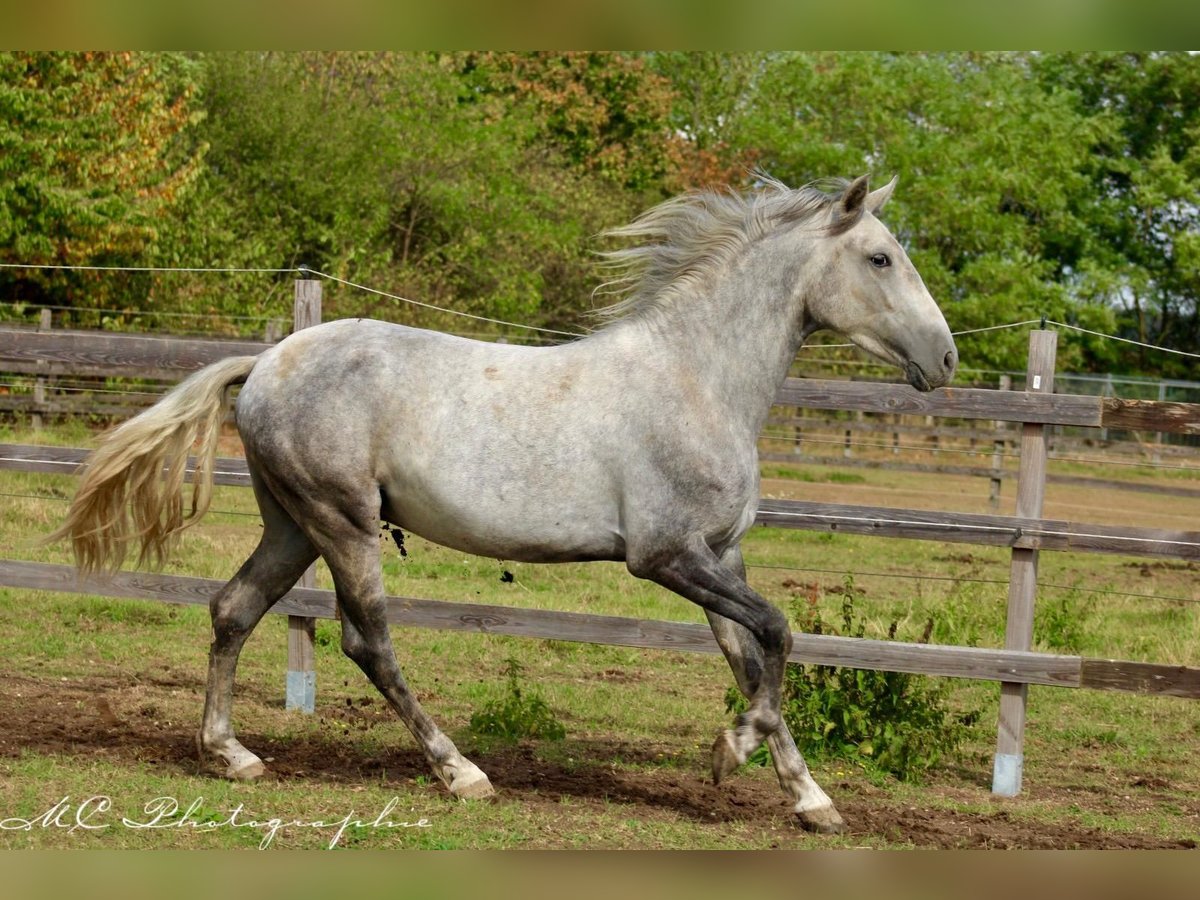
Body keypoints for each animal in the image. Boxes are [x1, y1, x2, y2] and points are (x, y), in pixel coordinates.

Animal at [54, 172, 955, 835]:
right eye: (880, 259)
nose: (944, 360)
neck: (697, 379)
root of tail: (268, 362)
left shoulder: (719, 554)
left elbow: (753, 656)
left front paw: (811, 800)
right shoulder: (665, 556)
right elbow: (779, 630)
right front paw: (729, 753)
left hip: (293, 525)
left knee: (233, 609)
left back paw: (231, 755)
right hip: (343, 522)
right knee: (366, 639)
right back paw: (461, 772)